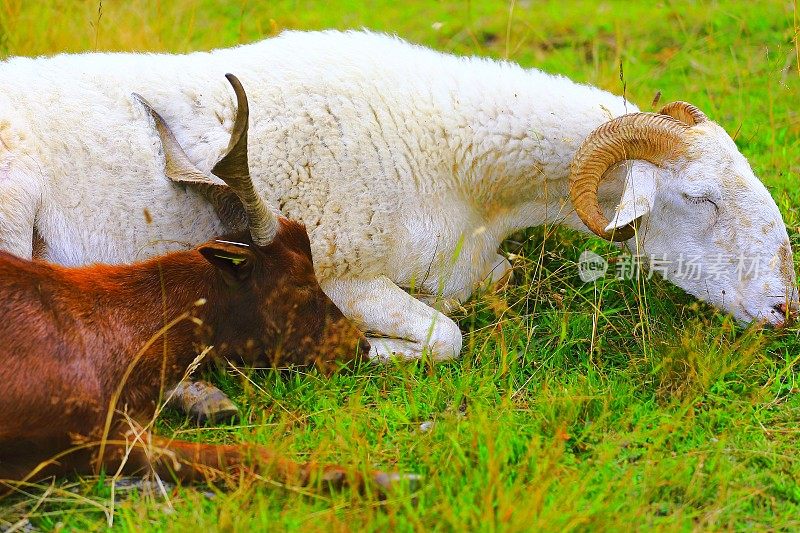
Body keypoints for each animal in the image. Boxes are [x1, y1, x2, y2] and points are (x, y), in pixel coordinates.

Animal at [0, 77, 394, 492]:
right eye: (301, 281)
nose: (359, 345)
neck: (96, 321)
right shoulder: (93, 440)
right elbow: (243, 454)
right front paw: (383, 478)